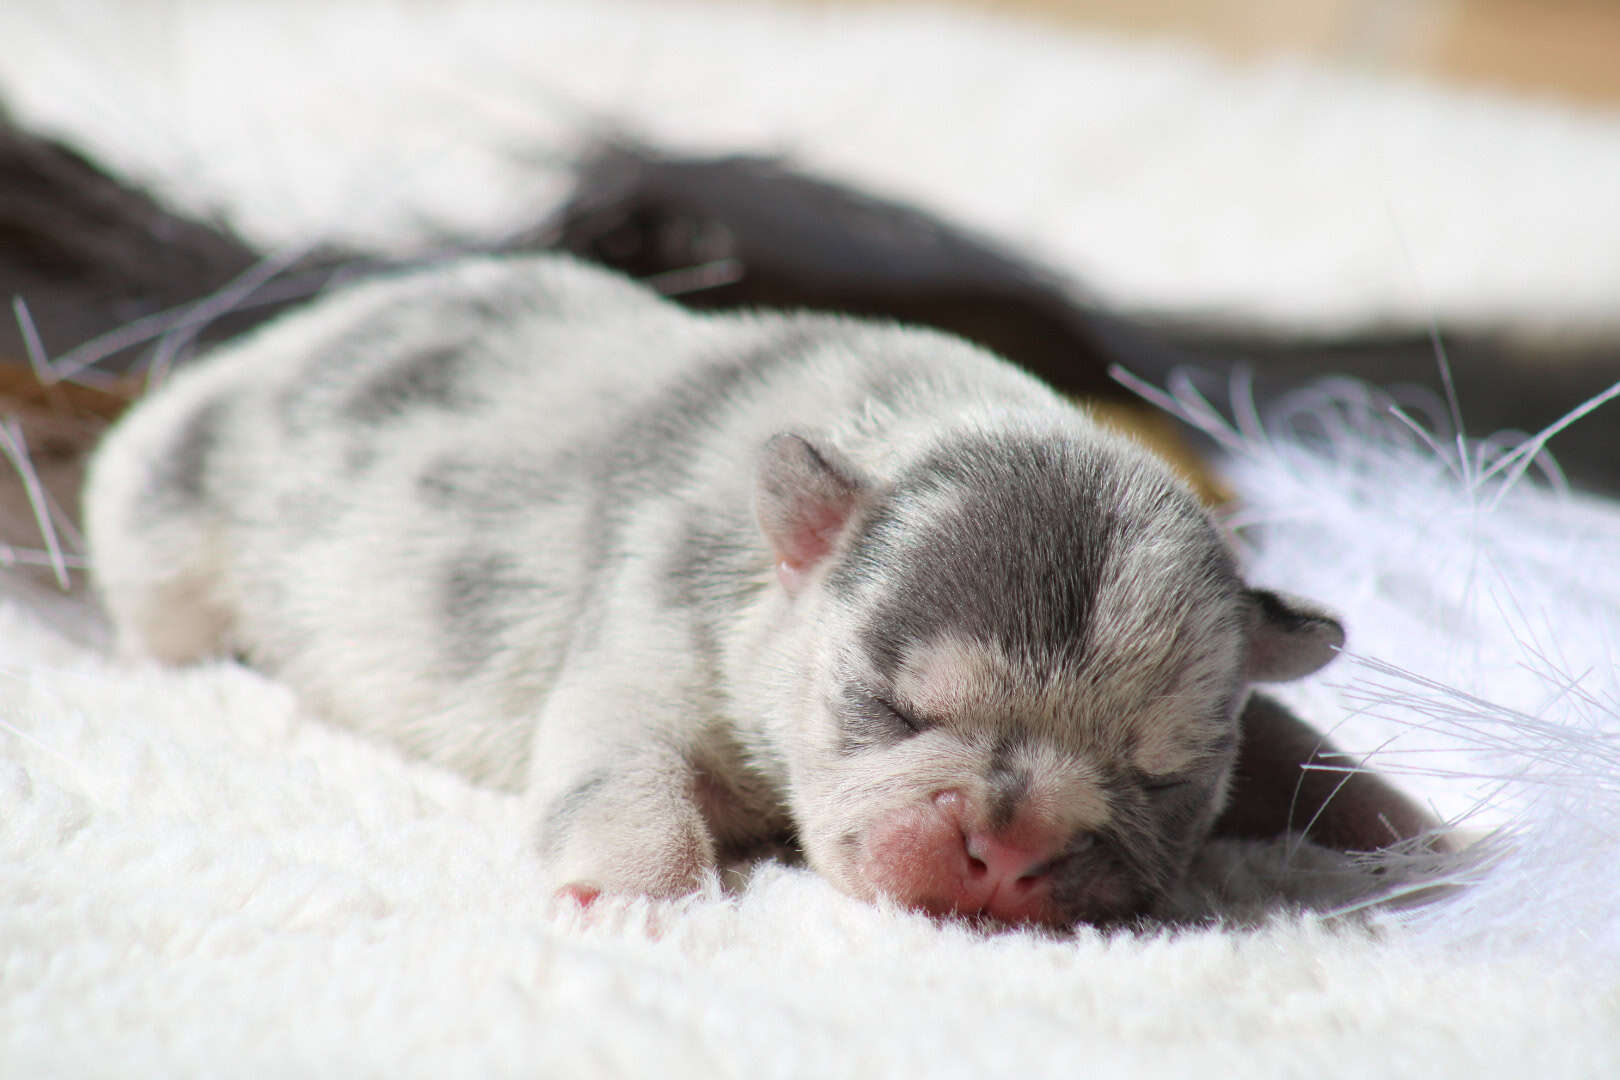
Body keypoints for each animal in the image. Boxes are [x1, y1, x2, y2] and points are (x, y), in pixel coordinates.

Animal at [82, 254, 1438, 932]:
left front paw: (1412, 830)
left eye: (1161, 773)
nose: (1010, 849)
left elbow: (1299, 742)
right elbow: (615, 767)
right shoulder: (643, 641)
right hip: (159, 521)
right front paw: (635, 899)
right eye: (895, 710)